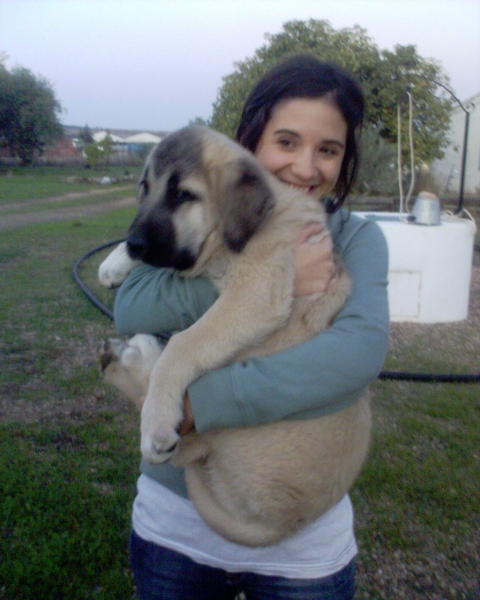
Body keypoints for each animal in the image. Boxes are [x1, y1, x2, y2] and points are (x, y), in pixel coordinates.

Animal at [97, 124, 370, 548]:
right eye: (146, 188)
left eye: (181, 195)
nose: (134, 243)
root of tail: (285, 522)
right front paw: (114, 262)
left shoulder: (254, 294)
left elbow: (184, 344)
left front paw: (156, 420)